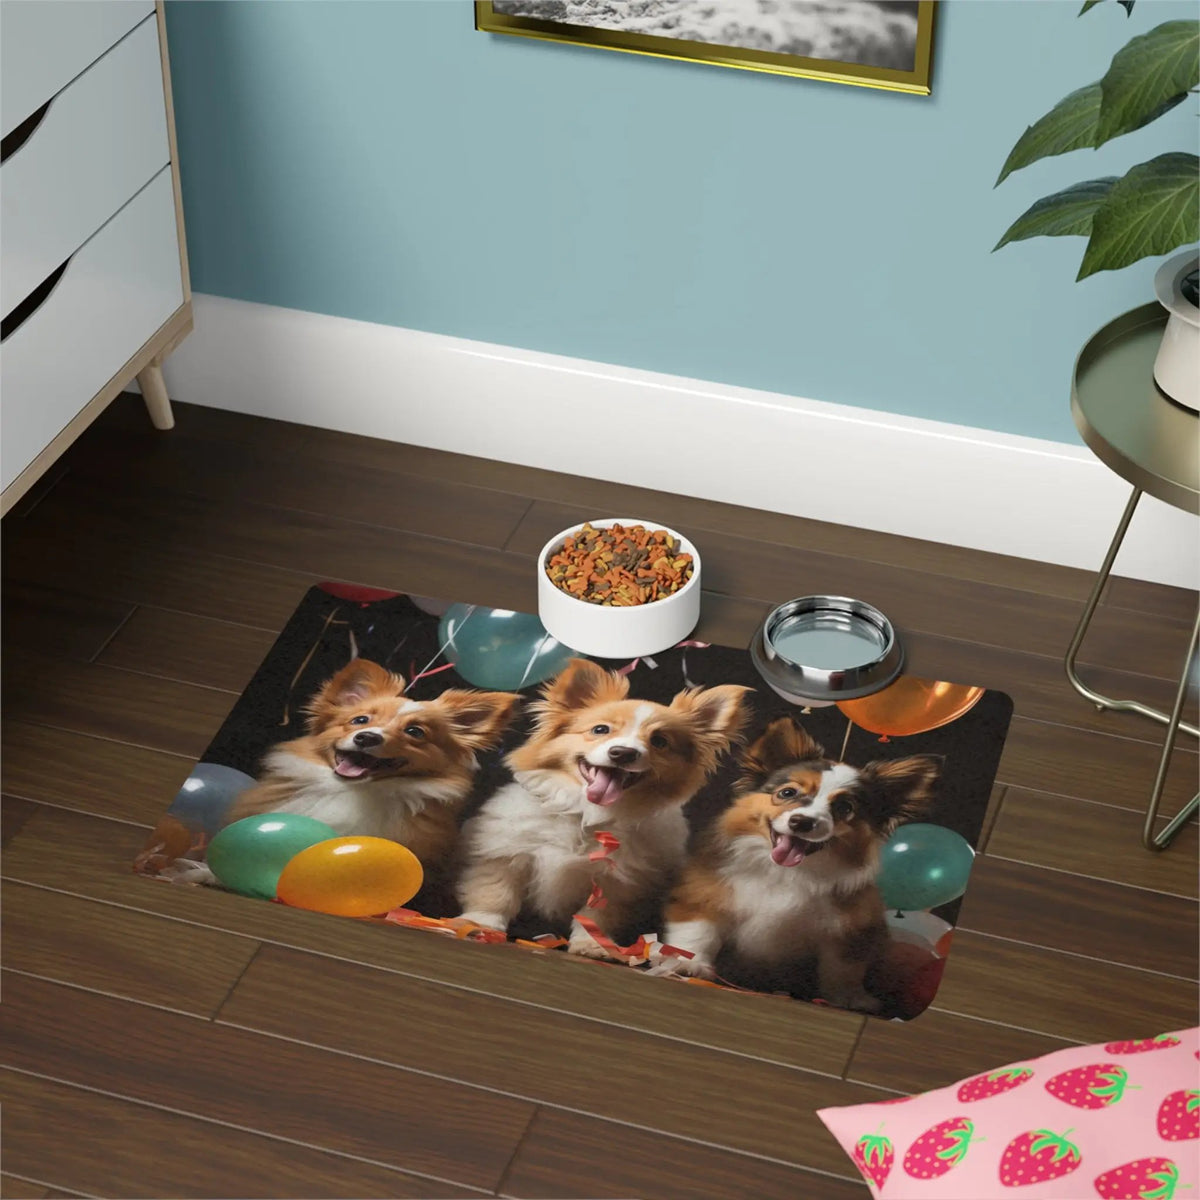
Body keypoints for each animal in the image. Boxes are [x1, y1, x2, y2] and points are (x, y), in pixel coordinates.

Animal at [453, 657, 744, 955]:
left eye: (659, 741)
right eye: (600, 730)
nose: (623, 753)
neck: (587, 815)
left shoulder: (615, 883)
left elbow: (595, 918)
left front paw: (592, 946)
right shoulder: (505, 855)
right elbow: (495, 894)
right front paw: (480, 925)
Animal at [648, 715, 936, 1008]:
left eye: (844, 808)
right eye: (787, 793)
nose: (802, 822)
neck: (788, 873)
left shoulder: (853, 928)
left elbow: (843, 968)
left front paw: (848, 997)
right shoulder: (701, 896)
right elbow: (697, 934)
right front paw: (688, 964)